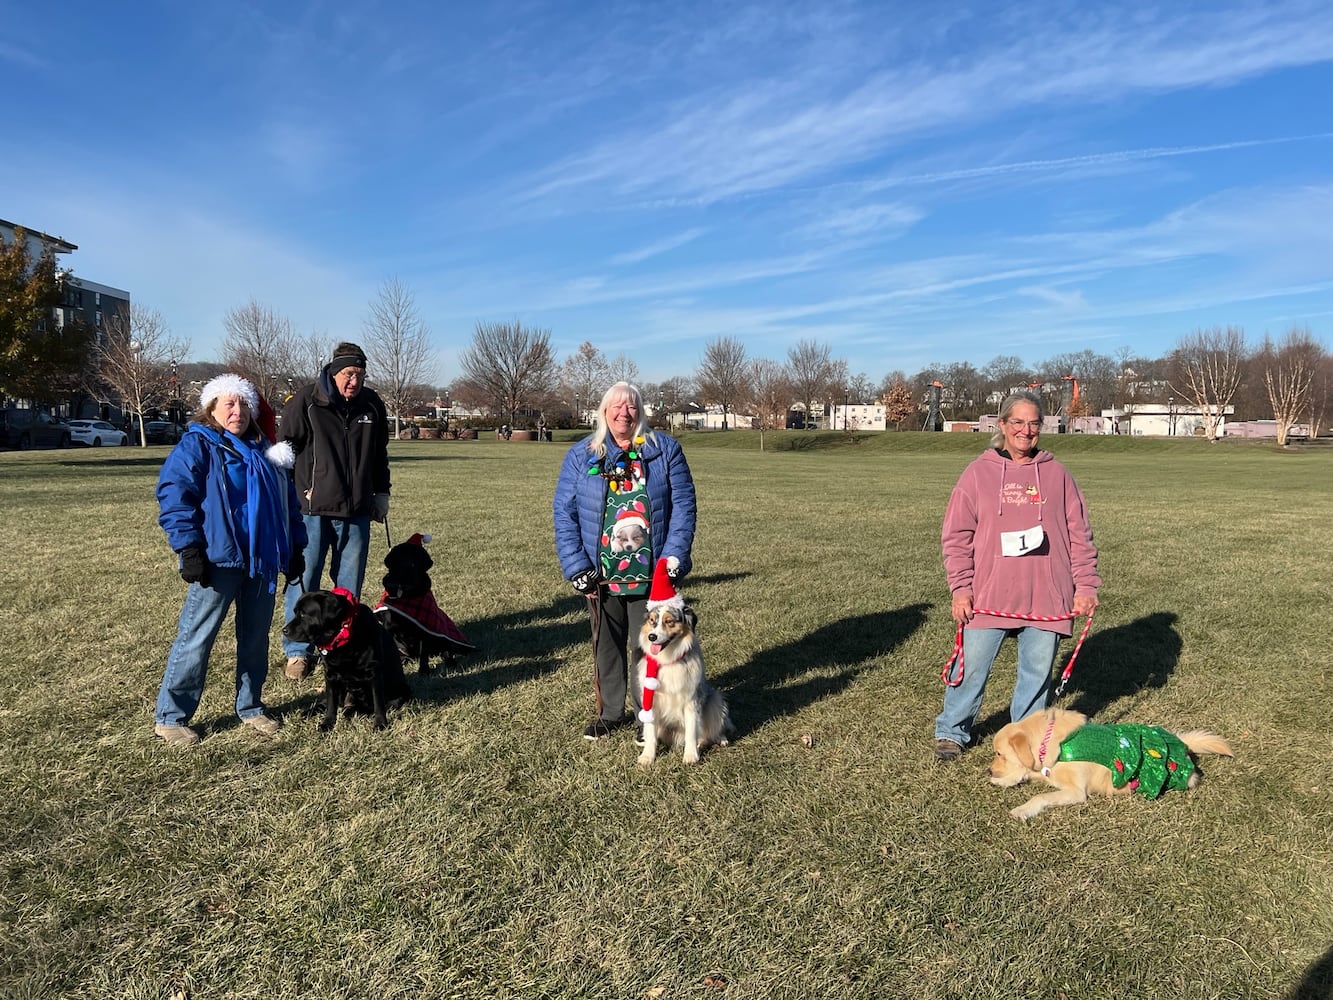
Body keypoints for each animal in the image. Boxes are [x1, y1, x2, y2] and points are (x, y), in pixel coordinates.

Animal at [279, 592, 405, 730]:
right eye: (295, 612)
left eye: (303, 614)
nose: (284, 630)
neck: (341, 638)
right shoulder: (330, 675)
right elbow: (331, 704)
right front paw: (327, 723)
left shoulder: (374, 673)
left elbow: (378, 703)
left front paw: (380, 723)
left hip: (397, 696)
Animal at [373, 536, 477, 677]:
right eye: (400, 555)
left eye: (417, 556)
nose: (410, 567)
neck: (407, 593)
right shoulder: (389, 627)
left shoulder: (425, 628)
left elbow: (424, 654)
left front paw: (424, 670)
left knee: (446, 650)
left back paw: (450, 662)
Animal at [631, 602, 730, 768]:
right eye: (652, 620)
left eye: (669, 621)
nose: (652, 637)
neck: (668, 660)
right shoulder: (651, 701)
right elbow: (650, 732)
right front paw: (647, 757)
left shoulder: (691, 700)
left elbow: (691, 731)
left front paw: (690, 756)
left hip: (715, 700)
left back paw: (719, 739)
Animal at [991, 704, 1226, 821]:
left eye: (999, 754)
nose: (989, 770)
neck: (1049, 742)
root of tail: (1181, 742)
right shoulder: (1046, 770)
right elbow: (1026, 772)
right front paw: (1003, 781)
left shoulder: (1075, 791)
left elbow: (1039, 796)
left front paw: (1022, 810)